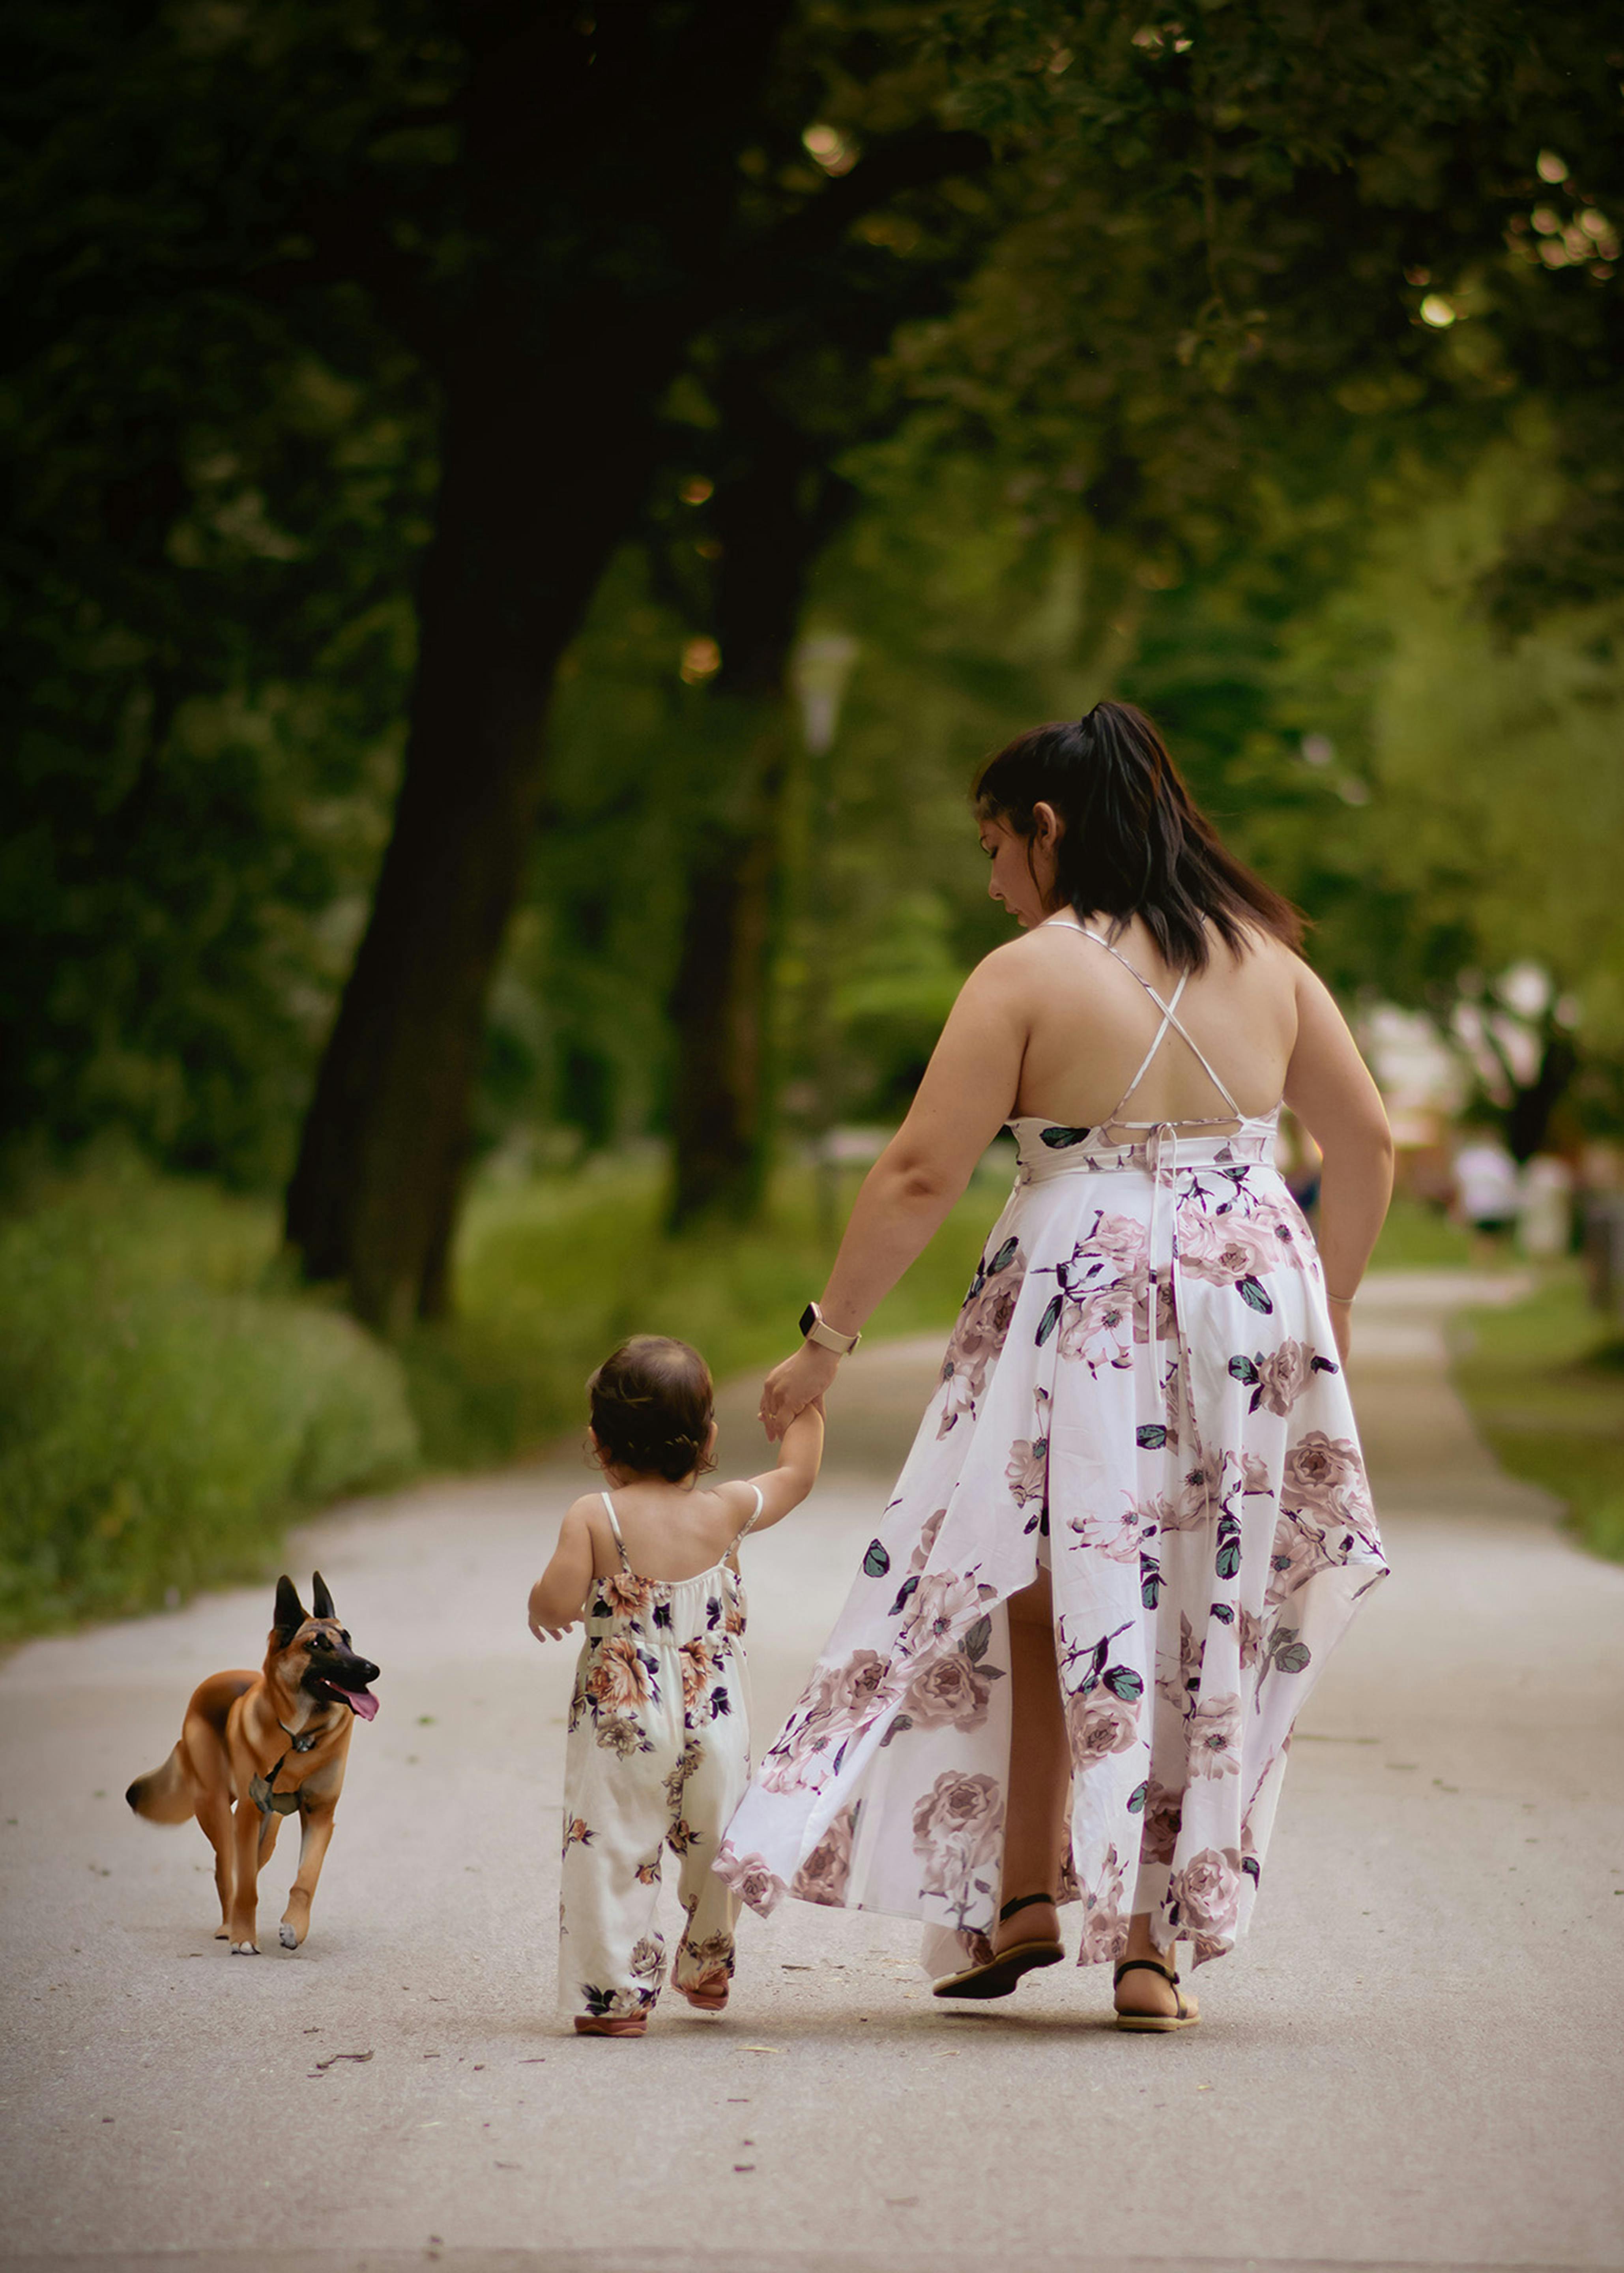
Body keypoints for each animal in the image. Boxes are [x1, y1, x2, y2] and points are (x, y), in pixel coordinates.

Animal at [127, 1563, 382, 1955]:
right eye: (317, 1645)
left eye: (347, 1639)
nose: (372, 1670)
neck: (300, 1738)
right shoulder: (247, 1815)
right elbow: (246, 1885)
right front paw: (244, 1937)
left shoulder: (320, 1815)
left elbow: (307, 1877)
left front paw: (295, 1926)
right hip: (217, 1810)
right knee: (226, 1868)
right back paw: (229, 1926)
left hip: (268, 1831)